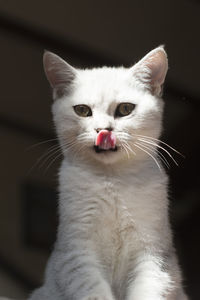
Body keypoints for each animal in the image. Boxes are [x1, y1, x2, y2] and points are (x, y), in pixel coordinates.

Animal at [28, 47, 188, 300]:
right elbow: (92, 290)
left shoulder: (154, 254)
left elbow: (150, 288)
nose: (103, 130)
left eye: (125, 109)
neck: (113, 180)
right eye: (82, 110)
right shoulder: (76, 252)